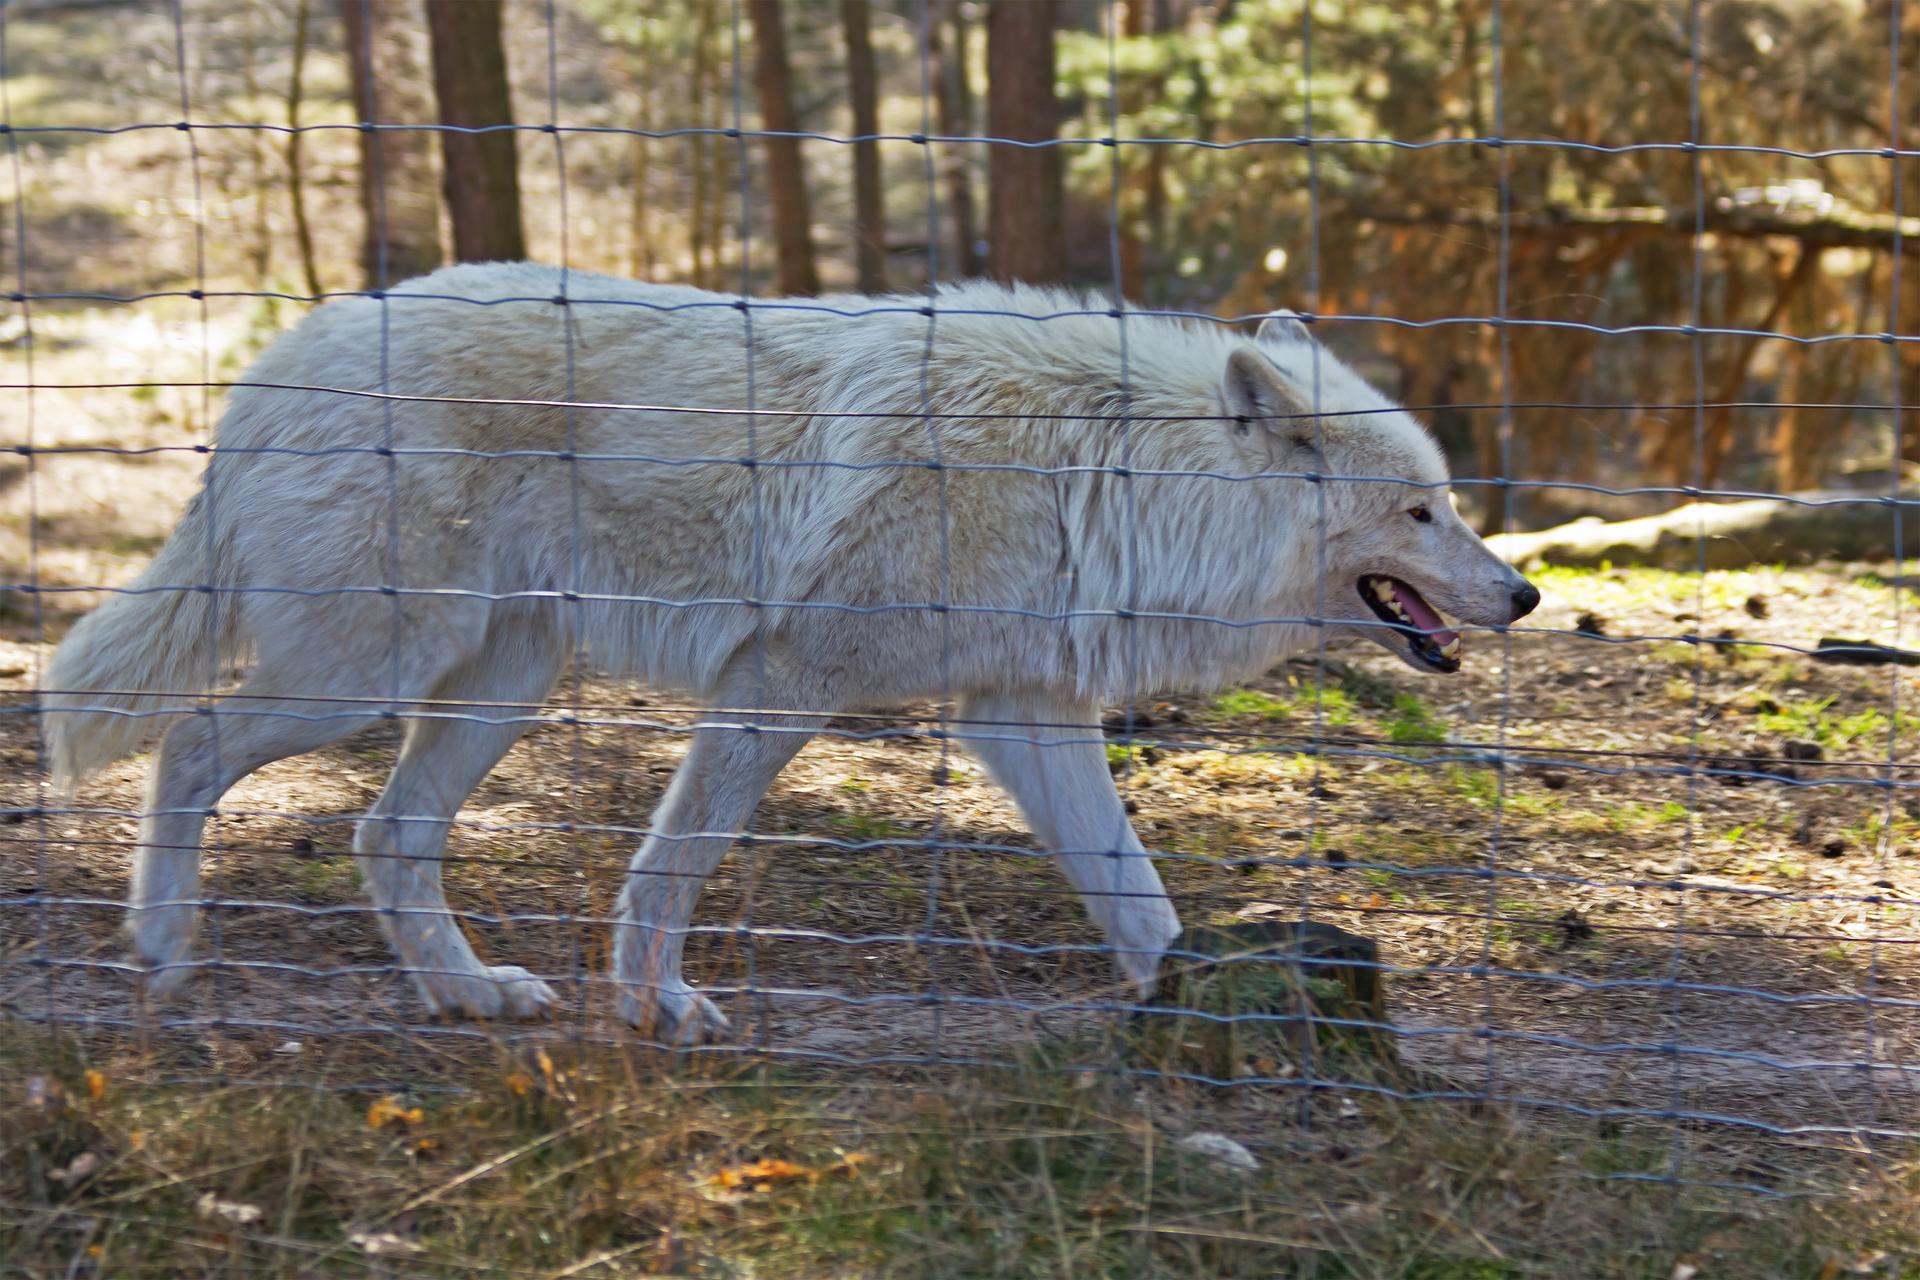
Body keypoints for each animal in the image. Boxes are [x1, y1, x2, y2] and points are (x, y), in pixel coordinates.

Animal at [45, 260, 1536, 1043]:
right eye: (1422, 511)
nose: (1521, 592)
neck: (1104, 470)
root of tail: (275, 355)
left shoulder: (1022, 717)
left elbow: (1136, 890)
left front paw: (1201, 1001)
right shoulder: (777, 686)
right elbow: (674, 865)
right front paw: (656, 1008)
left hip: (494, 690)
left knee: (385, 835)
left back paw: (470, 994)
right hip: (365, 670)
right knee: (189, 743)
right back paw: (164, 951)